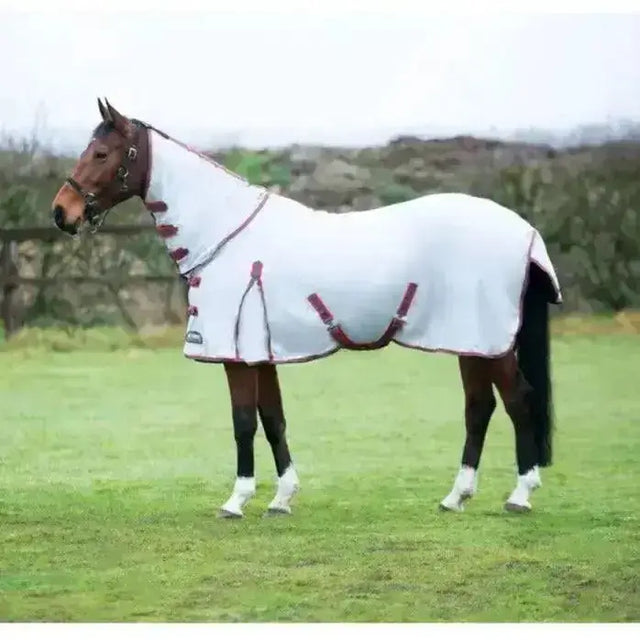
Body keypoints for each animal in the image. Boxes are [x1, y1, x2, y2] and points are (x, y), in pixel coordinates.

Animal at [51, 98, 562, 518]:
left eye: (101, 154)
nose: (62, 213)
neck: (225, 233)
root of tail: (525, 230)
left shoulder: (236, 356)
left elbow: (243, 422)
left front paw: (236, 501)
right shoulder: (261, 353)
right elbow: (273, 419)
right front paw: (281, 498)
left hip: (490, 343)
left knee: (518, 401)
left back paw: (520, 495)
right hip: (470, 340)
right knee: (479, 408)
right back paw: (456, 497)